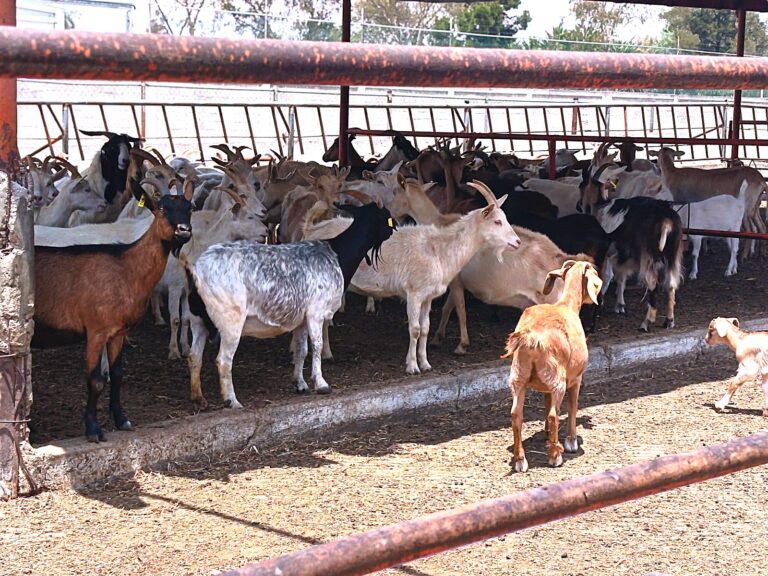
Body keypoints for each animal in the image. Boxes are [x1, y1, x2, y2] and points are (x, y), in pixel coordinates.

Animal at [32, 177, 195, 442]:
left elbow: (118, 374)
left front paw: (121, 419)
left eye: (190, 208)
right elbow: (96, 380)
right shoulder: (96, 331)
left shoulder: (118, 332)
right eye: (161, 208)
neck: (126, 267)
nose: (184, 230)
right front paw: (93, 429)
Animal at [185, 201, 396, 409]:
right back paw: (232, 400)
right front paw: (321, 384)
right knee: (223, 360)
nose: (393, 230)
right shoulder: (316, 312)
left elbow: (302, 350)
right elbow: (317, 345)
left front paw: (300, 384)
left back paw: (198, 398)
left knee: (194, 356)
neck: (337, 254)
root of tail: (197, 270)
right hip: (231, 321)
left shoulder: (301, 319)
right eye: (386, 217)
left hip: (197, 320)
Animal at [502, 260, 602, 472]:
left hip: (518, 377)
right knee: (553, 415)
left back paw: (520, 460)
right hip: (558, 381)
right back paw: (555, 456)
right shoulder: (576, 377)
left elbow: (545, 400)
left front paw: (548, 435)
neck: (567, 306)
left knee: (516, 415)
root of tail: (531, 338)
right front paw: (571, 441)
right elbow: (573, 406)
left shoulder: (545, 385)